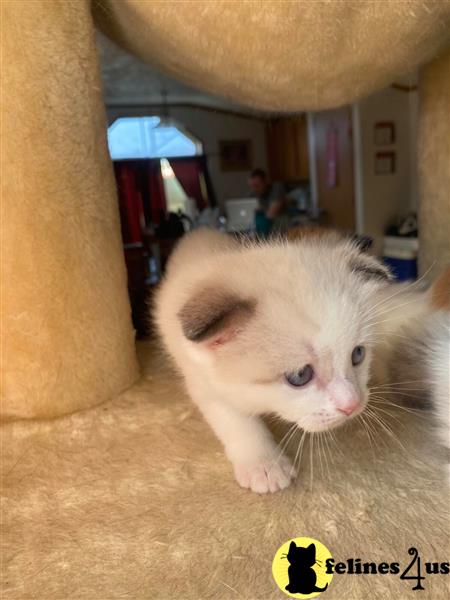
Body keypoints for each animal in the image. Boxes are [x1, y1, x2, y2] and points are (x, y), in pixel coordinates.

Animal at [155, 230, 394, 492]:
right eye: (300, 376)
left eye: (358, 354)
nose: (352, 405)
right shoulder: (202, 381)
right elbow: (238, 422)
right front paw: (264, 465)